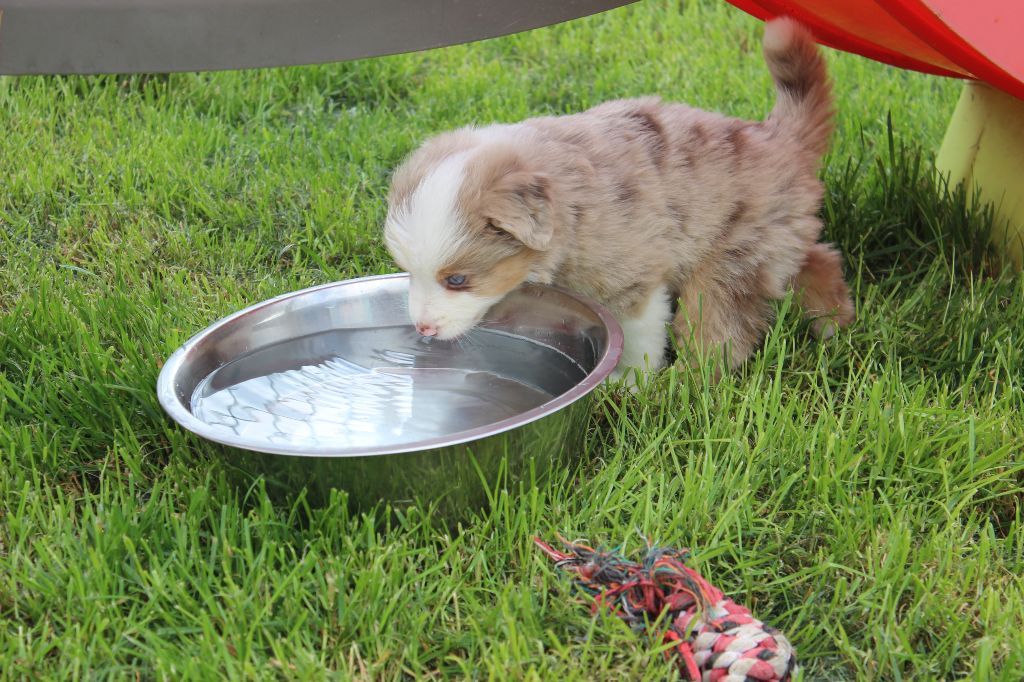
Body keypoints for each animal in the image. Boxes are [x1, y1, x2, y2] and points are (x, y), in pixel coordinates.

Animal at [383, 18, 854, 382]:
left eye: (457, 280)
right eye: (408, 271)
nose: (422, 329)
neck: (569, 207)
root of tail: (775, 137)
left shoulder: (633, 277)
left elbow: (637, 334)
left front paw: (630, 384)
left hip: (730, 258)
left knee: (718, 329)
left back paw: (687, 383)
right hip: (774, 237)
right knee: (818, 258)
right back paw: (833, 323)